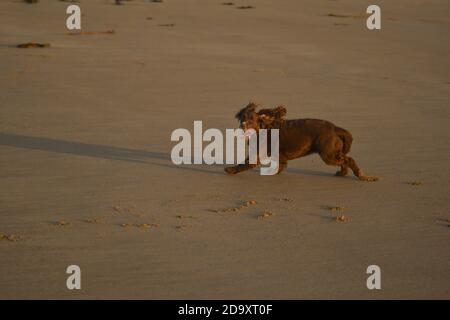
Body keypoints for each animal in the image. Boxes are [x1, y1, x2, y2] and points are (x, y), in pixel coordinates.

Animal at [223, 103, 378, 181]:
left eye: (251, 120)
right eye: (242, 118)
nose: (243, 126)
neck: (263, 128)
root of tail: (334, 128)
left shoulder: (257, 154)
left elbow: (244, 164)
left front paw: (230, 170)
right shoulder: (279, 156)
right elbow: (281, 165)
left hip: (328, 154)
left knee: (349, 159)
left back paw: (362, 176)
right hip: (331, 153)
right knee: (344, 160)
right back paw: (342, 173)